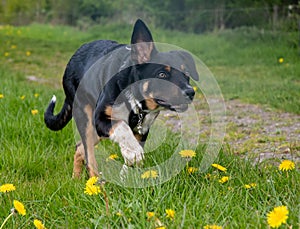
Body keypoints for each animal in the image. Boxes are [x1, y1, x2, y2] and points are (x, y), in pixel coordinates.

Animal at [44, 19, 198, 177]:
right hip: (85, 116)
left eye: (186, 74)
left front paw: (127, 173)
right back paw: (95, 181)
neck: (135, 102)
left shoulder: (142, 129)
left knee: (80, 147)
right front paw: (133, 153)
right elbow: (123, 128)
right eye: (162, 74)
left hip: (96, 132)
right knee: (89, 154)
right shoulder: (101, 118)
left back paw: (77, 178)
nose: (190, 92)